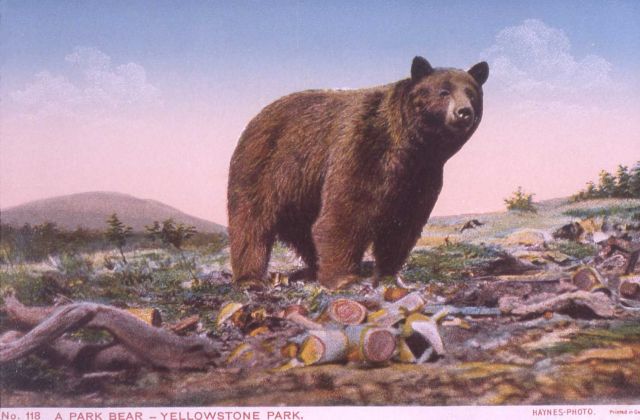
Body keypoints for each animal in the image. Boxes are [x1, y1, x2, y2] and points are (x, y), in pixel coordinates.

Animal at [227, 56, 489, 289]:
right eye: (443, 92)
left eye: (471, 93)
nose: (464, 111)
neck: (411, 147)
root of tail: (256, 118)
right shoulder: (362, 146)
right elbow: (347, 211)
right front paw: (345, 278)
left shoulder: (421, 175)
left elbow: (404, 222)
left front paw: (388, 272)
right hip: (266, 167)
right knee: (252, 222)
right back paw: (250, 278)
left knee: (303, 230)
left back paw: (313, 268)